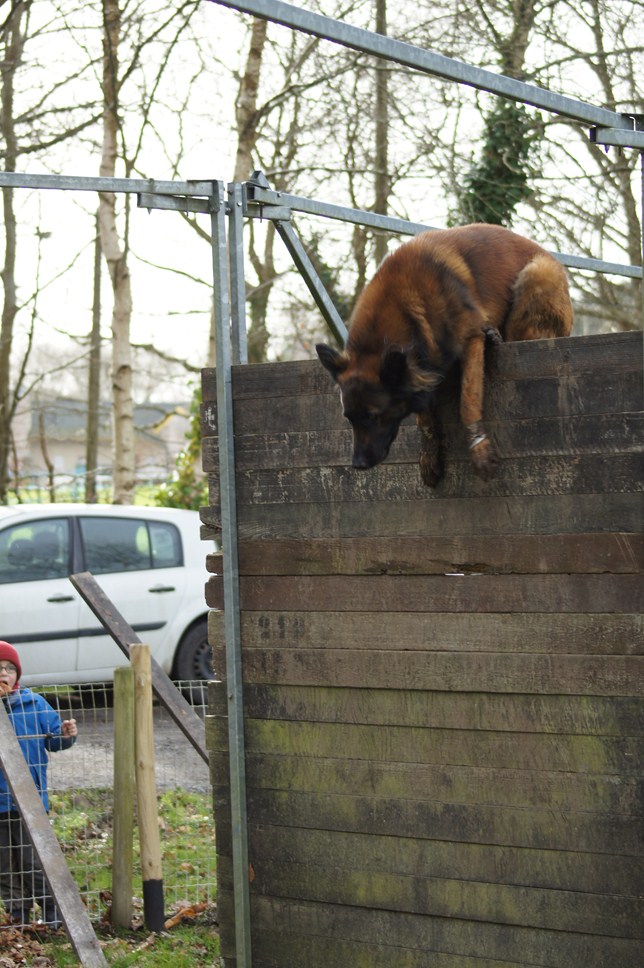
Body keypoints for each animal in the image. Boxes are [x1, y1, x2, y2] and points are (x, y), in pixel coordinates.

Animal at [316, 223, 572, 488]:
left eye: (373, 416)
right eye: (349, 418)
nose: (358, 464)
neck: (404, 305)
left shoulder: (470, 337)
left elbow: (468, 400)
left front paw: (479, 448)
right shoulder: (422, 362)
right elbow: (425, 417)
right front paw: (429, 455)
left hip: (536, 275)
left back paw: (497, 337)